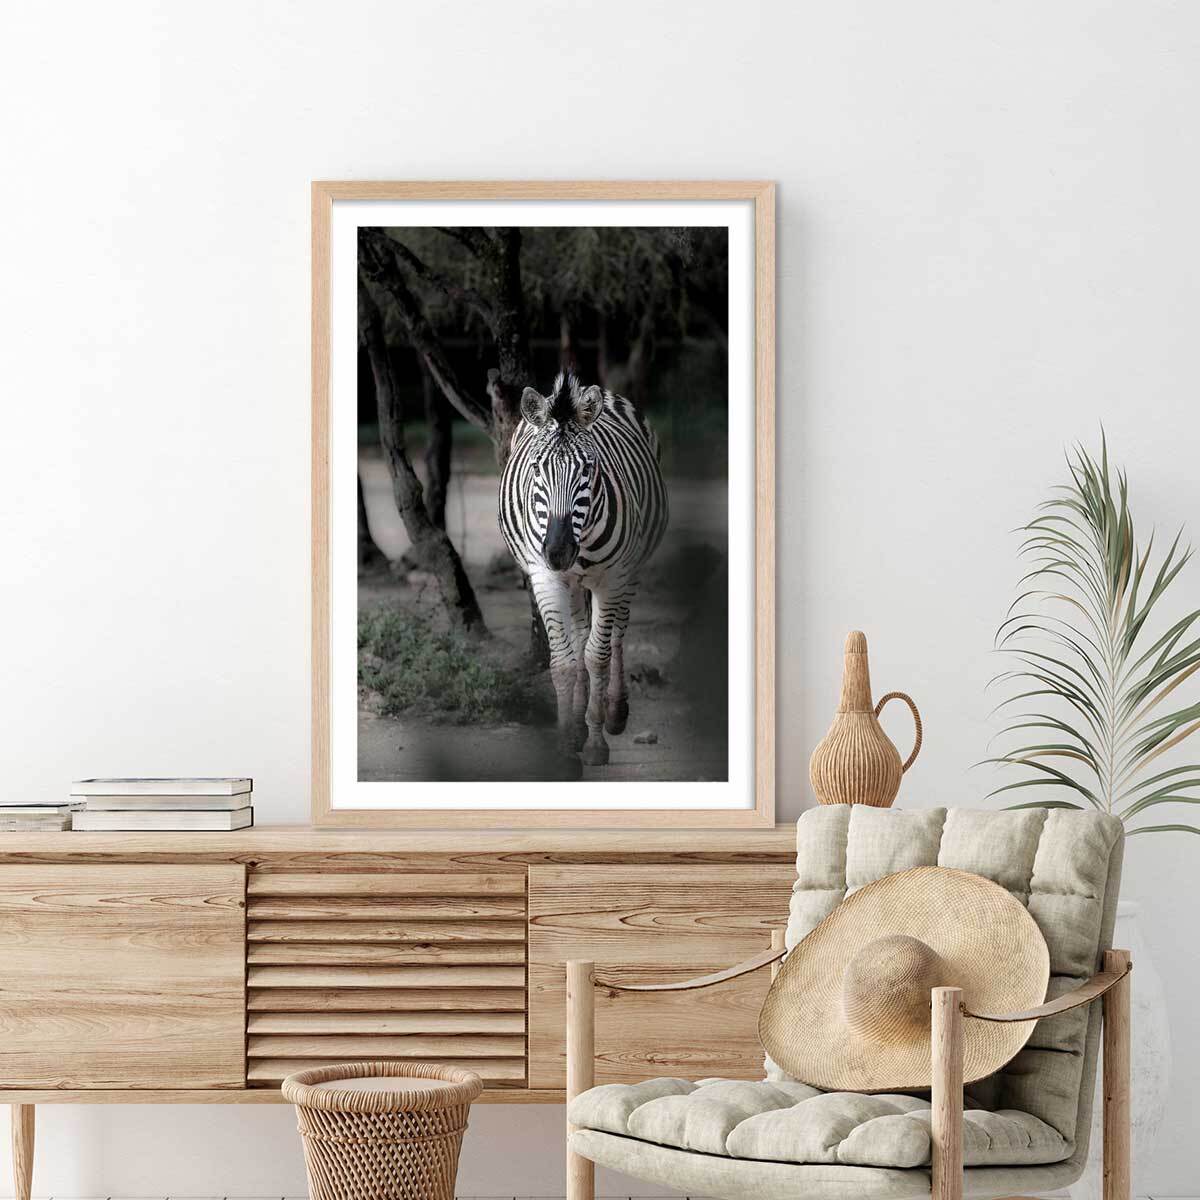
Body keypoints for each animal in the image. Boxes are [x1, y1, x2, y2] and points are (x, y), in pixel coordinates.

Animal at [499, 371, 669, 773]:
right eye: (536, 469)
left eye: (588, 469)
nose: (558, 551)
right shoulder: (545, 577)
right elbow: (563, 662)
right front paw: (566, 748)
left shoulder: (612, 578)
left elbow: (597, 656)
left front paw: (595, 743)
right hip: (573, 583)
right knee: (578, 636)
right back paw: (576, 725)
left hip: (629, 571)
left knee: (617, 634)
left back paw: (615, 713)